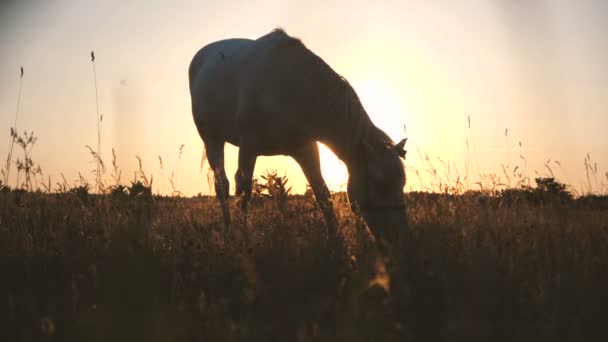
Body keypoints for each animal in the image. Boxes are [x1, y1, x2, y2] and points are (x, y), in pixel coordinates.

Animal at [189, 28, 408, 250]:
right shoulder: (249, 145)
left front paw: (335, 241)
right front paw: (244, 241)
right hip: (212, 139)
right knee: (222, 186)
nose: (400, 239)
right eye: (379, 184)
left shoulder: (305, 148)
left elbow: (322, 194)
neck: (293, 88)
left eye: (402, 184)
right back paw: (228, 235)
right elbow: (244, 193)